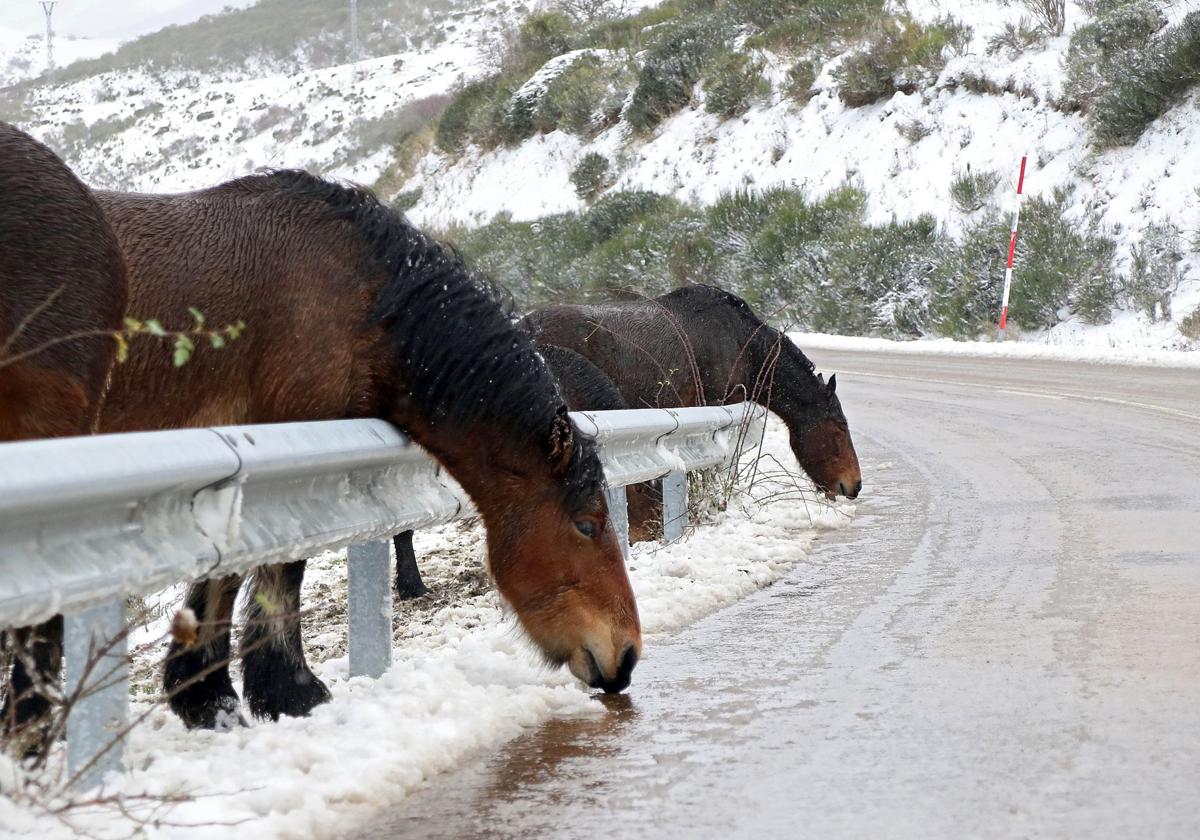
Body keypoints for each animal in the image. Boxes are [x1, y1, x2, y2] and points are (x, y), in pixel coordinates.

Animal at [85, 169, 643, 729]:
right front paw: (278, 693)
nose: (628, 656)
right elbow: (276, 566)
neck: (362, 303)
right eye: (587, 525)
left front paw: (210, 693)